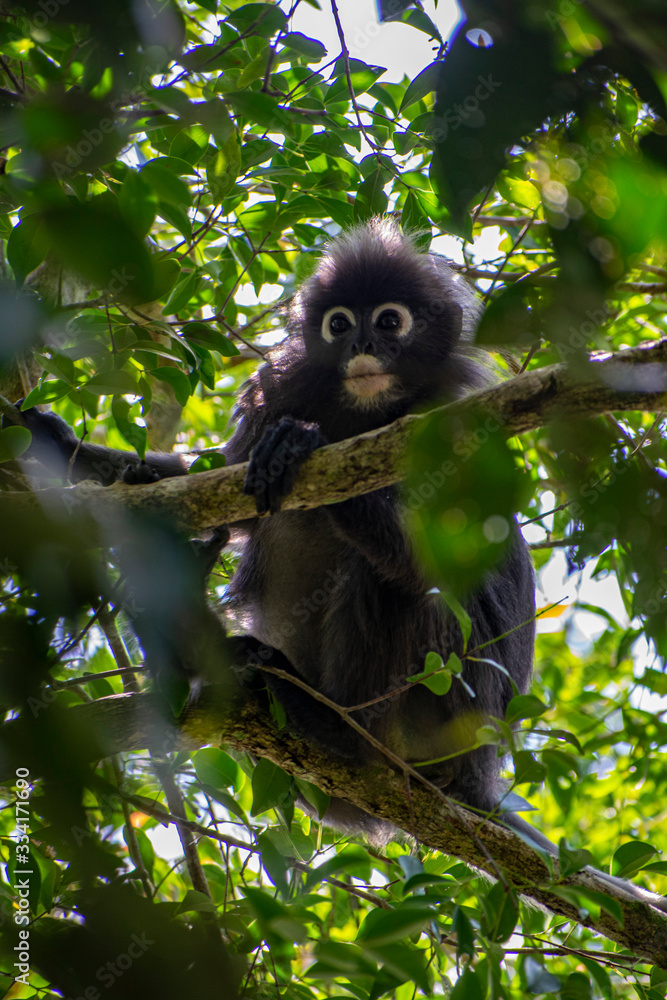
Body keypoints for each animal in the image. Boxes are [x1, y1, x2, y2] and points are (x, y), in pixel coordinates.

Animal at [14, 219, 667, 912]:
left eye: (389, 321)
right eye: (338, 323)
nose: (360, 344)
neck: (366, 414)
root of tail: (479, 778)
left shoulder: (455, 421)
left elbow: (437, 554)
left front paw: (304, 445)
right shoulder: (282, 394)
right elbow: (210, 480)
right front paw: (55, 441)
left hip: (443, 706)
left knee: (400, 582)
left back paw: (331, 729)